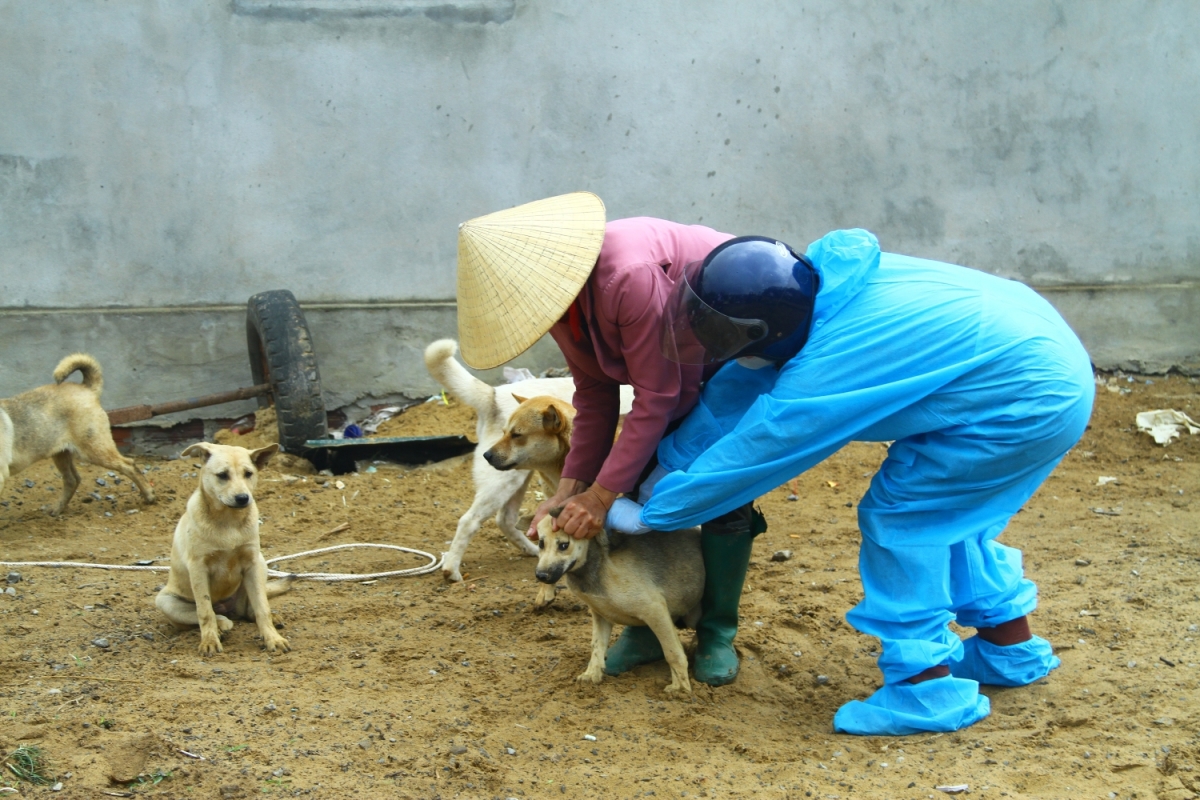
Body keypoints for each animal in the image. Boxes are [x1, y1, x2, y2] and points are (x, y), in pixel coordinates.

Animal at [0, 352, 157, 515]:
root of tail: (86, 388)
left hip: (95, 449)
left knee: (128, 464)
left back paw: (149, 495)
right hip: (61, 453)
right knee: (72, 479)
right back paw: (58, 508)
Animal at [156, 441, 294, 652]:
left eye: (248, 473)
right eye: (222, 475)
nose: (243, 498)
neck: (229, 521)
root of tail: (228, 608)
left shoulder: (252, 563)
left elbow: (262, 607)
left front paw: (273, 638)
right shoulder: (198, 568)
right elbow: (204, 611)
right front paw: (210, 641)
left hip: (261, 563)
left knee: (249, 611)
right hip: (165, 601)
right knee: (207, 615)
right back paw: (222, 625)